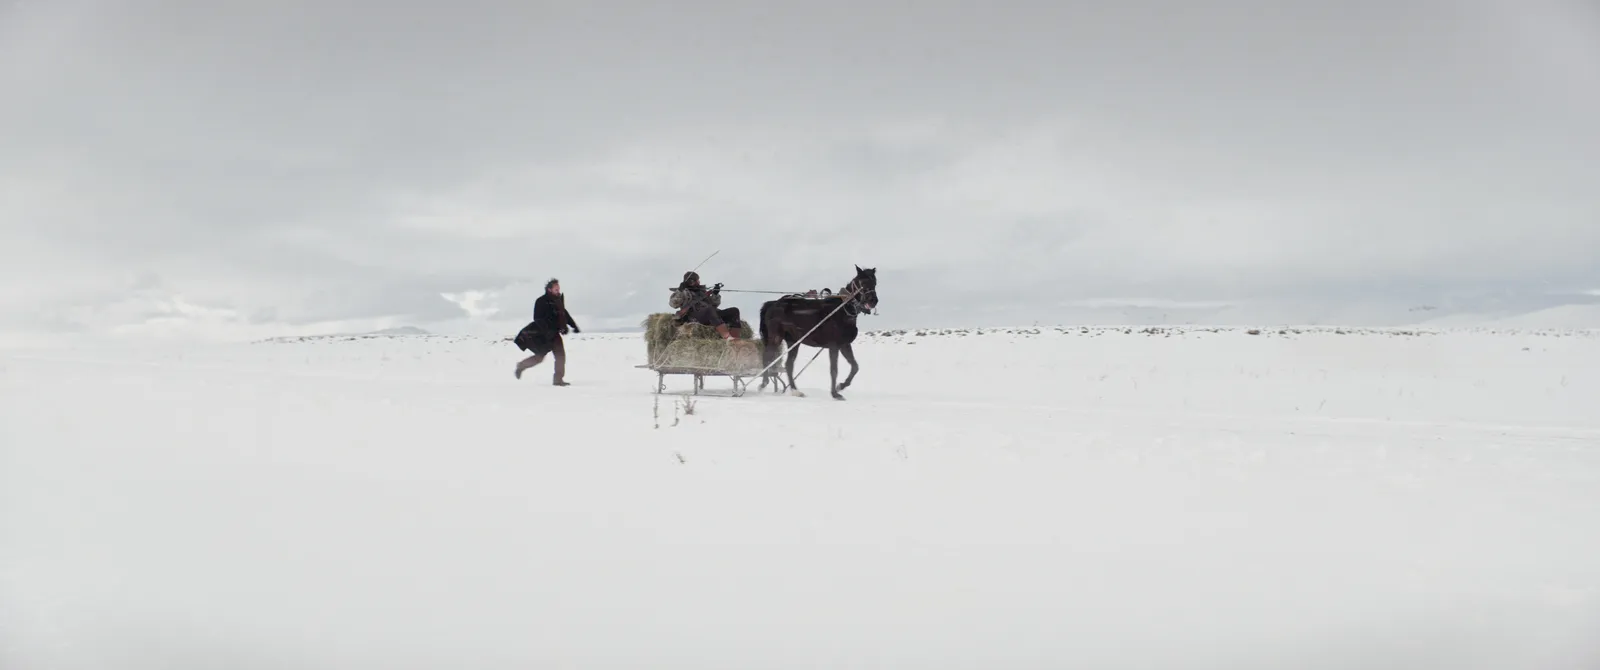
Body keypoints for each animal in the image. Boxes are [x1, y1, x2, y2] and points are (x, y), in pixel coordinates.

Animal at [758, 262, 883, 398]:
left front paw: (841, 386)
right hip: (776, 337)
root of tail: (773, 303)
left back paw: (795, 390)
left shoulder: (844, 345)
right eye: (861, 282)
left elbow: (855, 367)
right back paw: (763, 384)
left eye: (875, 282)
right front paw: (835, 394)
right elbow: (834, 370)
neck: (842, 310)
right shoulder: (834, 345)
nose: (873, 300)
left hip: (793, 341)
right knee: (767, 357)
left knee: (788, 364)